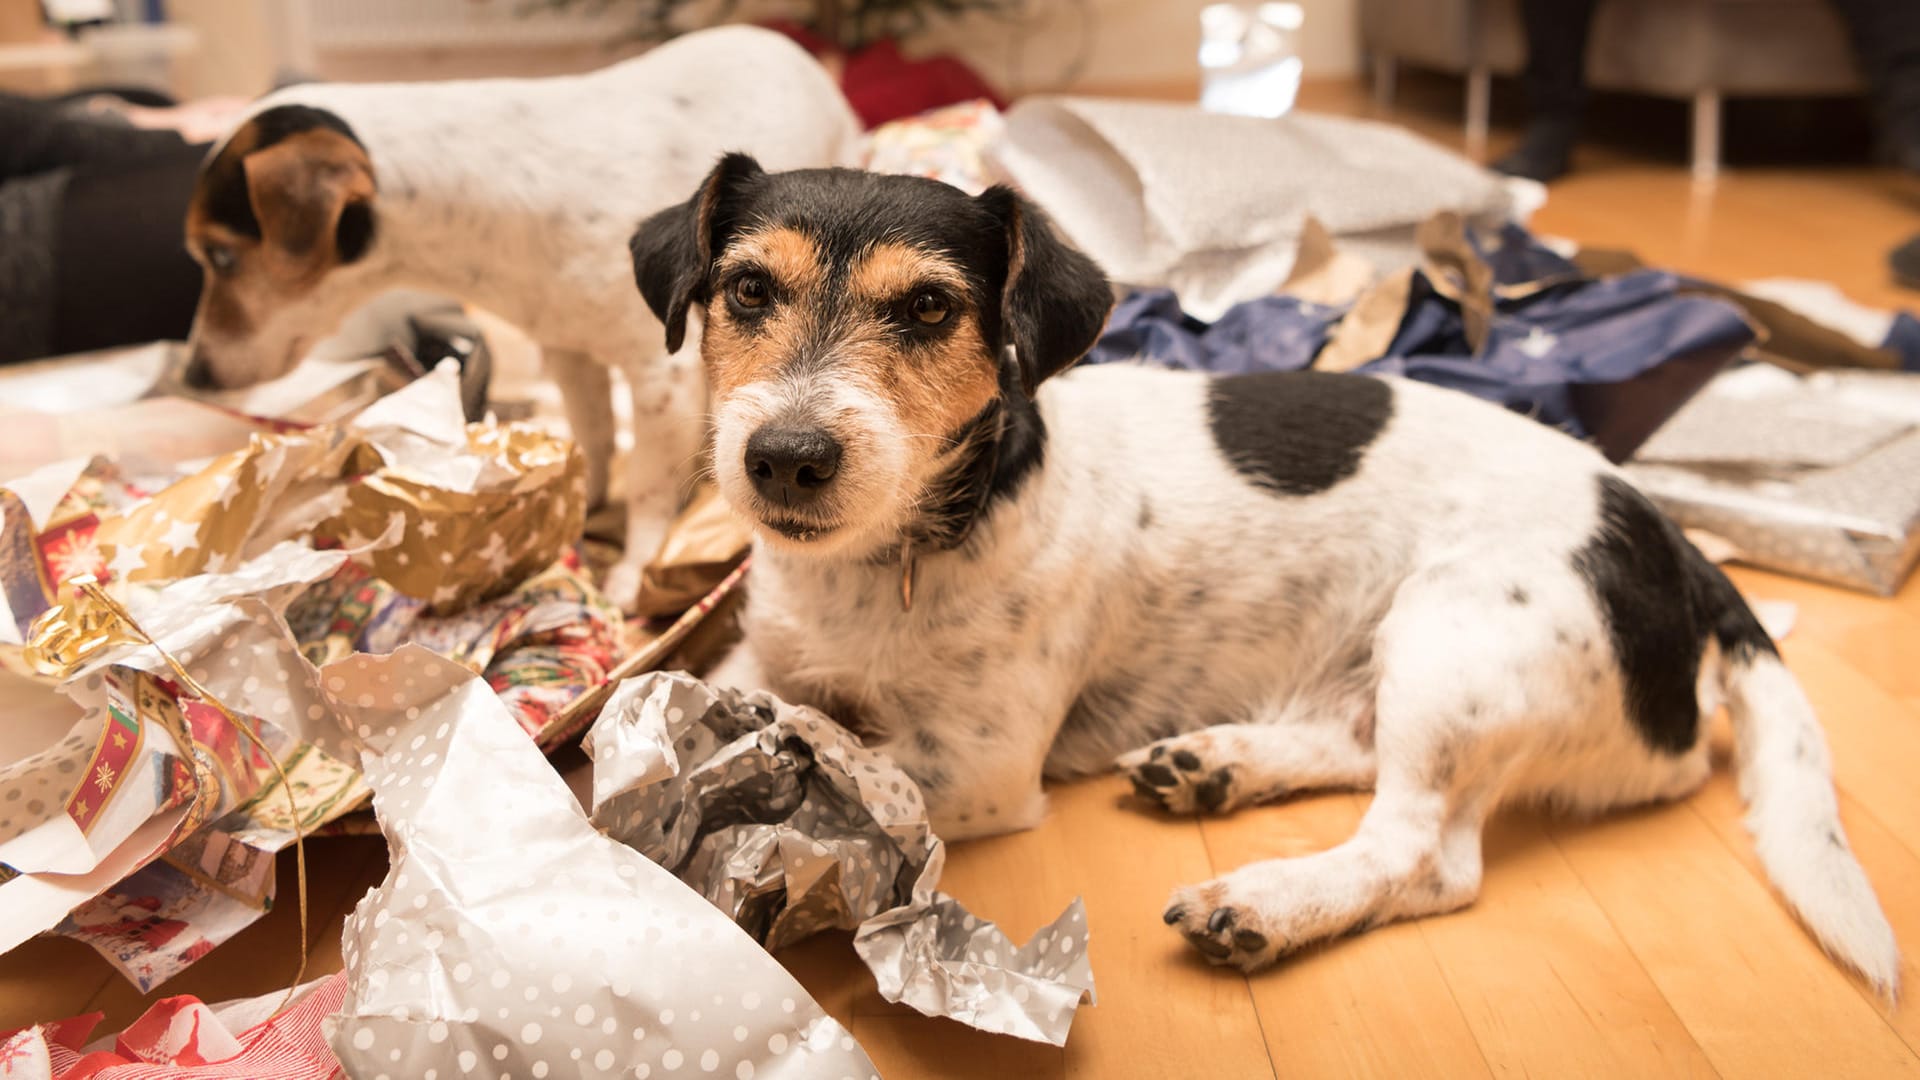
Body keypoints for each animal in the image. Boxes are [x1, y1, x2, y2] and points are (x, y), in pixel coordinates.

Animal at [178, 27, 856, 607]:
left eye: (220, 256)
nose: (193, 377)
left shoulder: (656, 374)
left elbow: (646, 484)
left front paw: (635, 567)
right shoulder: (569, 352)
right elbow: (595, 440)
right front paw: (580, 508)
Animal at [633, 155, 1904, 991]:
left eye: (932, 307)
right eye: (747, 290)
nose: (785, 457)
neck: (895, 554)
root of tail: (1676, 546)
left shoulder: (979, 765)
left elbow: (844, 768)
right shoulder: (761, 651)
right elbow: (741, 694)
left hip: (1461, 634)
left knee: (1425, 855)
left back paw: (1267, 903)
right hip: (1398, 654)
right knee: (1357, 745)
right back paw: (1216, 766)